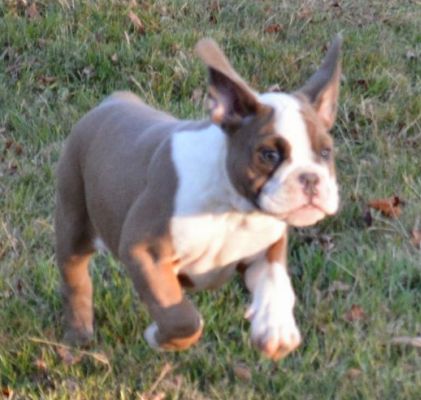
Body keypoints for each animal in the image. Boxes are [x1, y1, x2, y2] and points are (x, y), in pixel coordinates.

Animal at [54, 36, 340, 360]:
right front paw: (159, 337)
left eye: (325, 153)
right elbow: (182, 318)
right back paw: (78, 335)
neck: (233, 208)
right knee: (75, 279)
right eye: (269, 155)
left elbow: (276, 285)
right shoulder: (144, 252)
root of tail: (114, 100)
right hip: (73, 218)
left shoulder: (266, 250)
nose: (310, 178)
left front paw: (275, 328)